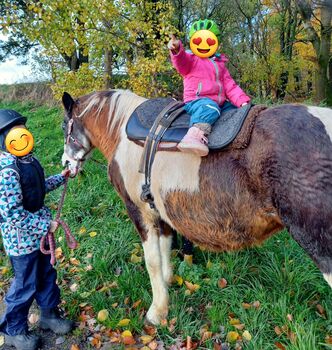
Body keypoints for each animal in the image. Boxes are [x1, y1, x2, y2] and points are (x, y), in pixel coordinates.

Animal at [61, 90, 332, 326]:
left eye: (65, 127)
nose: (65, 163)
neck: (121, 131)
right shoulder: (160, 210)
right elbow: (165, 249)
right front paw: (168, 284)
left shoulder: (139, 210)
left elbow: (152, 260)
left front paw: (157, 312)